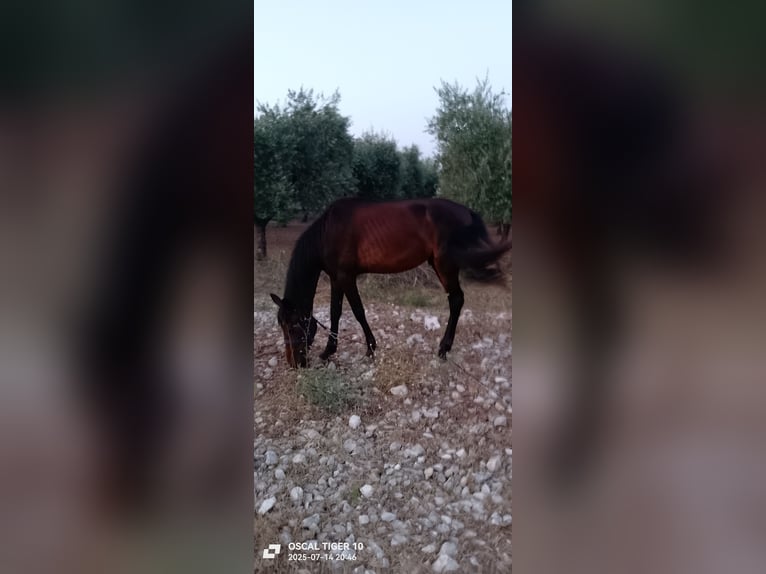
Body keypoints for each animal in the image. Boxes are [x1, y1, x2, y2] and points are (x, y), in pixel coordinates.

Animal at [270, 197, 511, 368]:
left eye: (293, 326)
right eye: (281, 325)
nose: (295, 364)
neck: (327, 231)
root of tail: (467, 211)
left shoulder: (347, 276)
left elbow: (358, 311)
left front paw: (370, 348)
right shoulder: (336, 278)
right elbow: (335, 312)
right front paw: (329, 351)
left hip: (446, 265)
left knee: (456, 300)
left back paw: (443, 349)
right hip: (437, 263)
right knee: (456, 299)